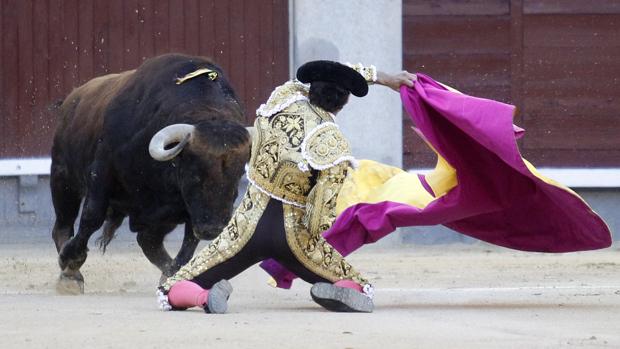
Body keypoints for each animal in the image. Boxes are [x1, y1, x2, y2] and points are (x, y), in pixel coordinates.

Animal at [49, 53, 251, 294]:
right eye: (194, 175)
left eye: (237, 177)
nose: (213, 229)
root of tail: (72, 98)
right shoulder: (101, 172)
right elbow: (92, 216)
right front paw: (70, 264)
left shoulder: (184, 210)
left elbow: (188, 242)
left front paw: (174, 275)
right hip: (63, 179)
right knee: (63, 226)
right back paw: (70, 275)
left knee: (148, 241)